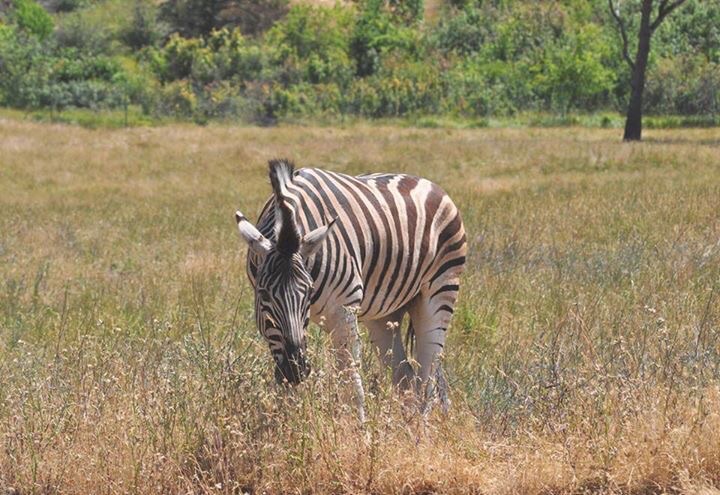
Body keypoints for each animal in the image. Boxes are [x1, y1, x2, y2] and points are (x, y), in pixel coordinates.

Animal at [234, 159, 466, 416]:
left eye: (309, 292)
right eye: (263, 294)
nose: (296, 371)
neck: (289, 226)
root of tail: (430, 183)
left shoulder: (343, 311)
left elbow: (352, 385)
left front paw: (357, 426)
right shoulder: (272, 328)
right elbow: (287, 390)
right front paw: (290, 421)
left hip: (440, 292)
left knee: (427, 381)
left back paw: (420, 427)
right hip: (384, 316)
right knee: (406, 379)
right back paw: (407, 423)